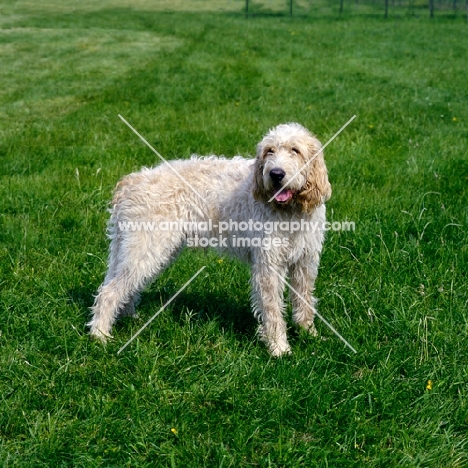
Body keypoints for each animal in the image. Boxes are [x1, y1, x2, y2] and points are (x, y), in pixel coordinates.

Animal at [88, 122, 330, 356]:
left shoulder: (305, 261)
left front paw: (309, 333)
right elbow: (272, 309)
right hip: (146, 249)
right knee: (109, 292)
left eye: (295, 150)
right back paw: (100, 335)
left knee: (119, 285)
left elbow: (304, 299)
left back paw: (127, 317)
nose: (276, 174)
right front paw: (279, 348)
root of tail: (130, 182)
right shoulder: (268, 265)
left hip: (142, 251)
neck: (290, 211)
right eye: (269, 150)